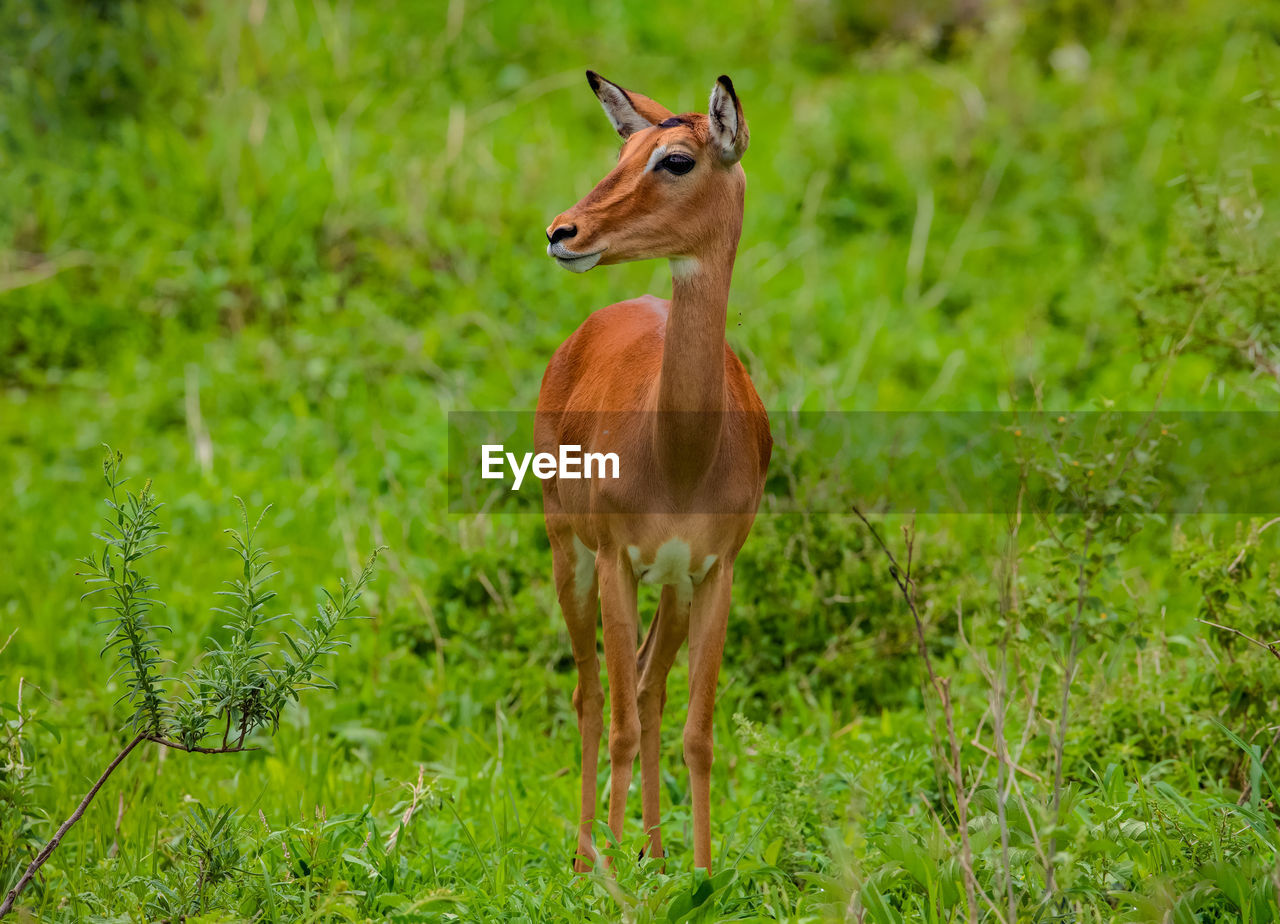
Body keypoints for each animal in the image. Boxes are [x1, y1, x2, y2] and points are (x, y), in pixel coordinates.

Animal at [537, 73, 768, 870]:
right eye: (622, 152)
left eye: (676, 159)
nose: (563, 232)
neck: (682, 457)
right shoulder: (614, 560)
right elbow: (616, 721)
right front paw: (602, 876)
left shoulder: (714, 571)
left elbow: (697, 732)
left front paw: (699, 871)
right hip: (571, 556)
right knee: (593, 696)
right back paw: (589, 855)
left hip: (670, 586)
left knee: (645, 685)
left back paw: (654, 853)